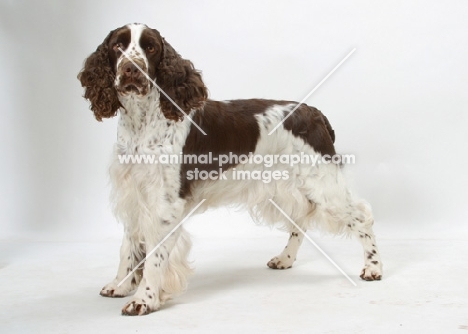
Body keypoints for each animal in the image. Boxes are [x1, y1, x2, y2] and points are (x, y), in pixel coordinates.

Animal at [77, 23, 384, 316]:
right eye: (118, 46)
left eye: (150, 47)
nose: (132, 68)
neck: (143, 122)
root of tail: (315, 112)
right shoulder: (133, 193)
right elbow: (129, 247)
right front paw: (120, 285)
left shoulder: (164, 204)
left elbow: (154, 256)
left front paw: (145, 299)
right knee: (301, 221)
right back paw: (285, 259)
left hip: (323, 182)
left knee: (362, 216)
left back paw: (373, 267)